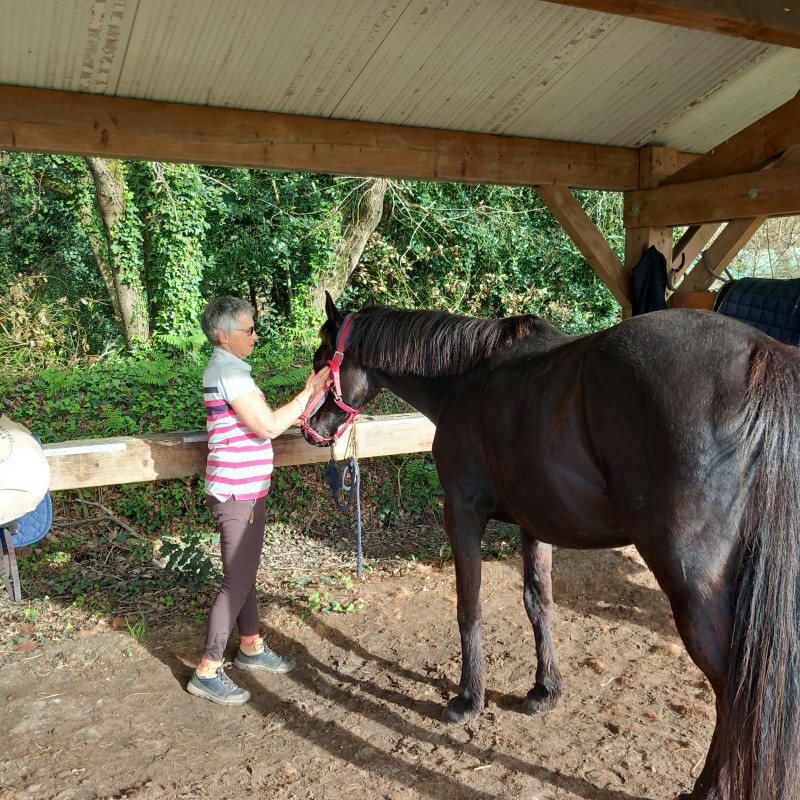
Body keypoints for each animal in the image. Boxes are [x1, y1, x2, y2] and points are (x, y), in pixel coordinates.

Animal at [302, 296, 800, 800]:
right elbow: (538, 602)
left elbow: (469, 607)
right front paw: (545, 690)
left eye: (321, 357)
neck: (467, 377)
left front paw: (468, 699)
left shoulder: (461, 514)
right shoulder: (533, 521)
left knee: (735, 686)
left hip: (693, 585)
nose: (309, 428)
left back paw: (710, 788)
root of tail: (761, 353)